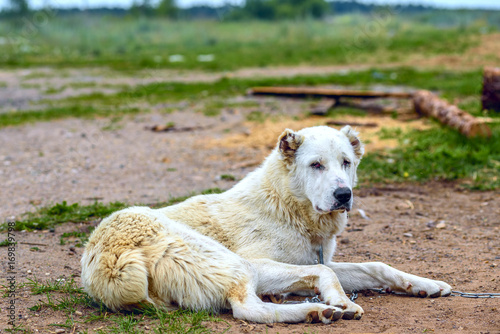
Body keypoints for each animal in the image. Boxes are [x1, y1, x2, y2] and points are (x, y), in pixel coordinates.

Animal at [82, 125, 454, 324]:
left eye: (346, 162)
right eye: (316, 165)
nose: (343, 194)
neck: (289, 206)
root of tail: (113, 264)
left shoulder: (311, 259)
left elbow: (375, 266)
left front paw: (426, 285)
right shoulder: (264, 261)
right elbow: (326, 272)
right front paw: (340, 300)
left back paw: (311, 309)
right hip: (235, 263)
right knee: (248, 308)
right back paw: (318, 310)